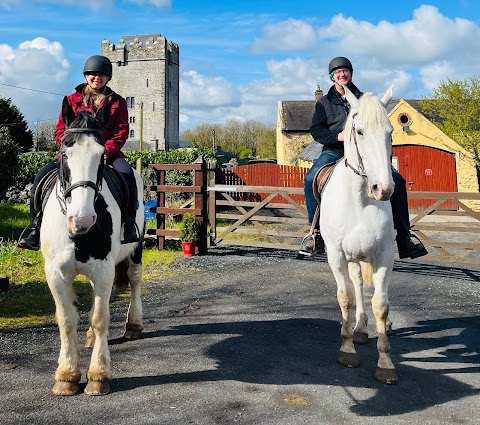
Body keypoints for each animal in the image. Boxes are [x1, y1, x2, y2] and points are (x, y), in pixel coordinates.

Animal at [41, 107, 144, 394]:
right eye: (65, 153)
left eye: (102, 155)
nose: (82, 220)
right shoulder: (55, 273)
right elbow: (66, 320)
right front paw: (66, 374)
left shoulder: (103, 270)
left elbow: (100, 318)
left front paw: (98, 375)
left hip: (135, 252)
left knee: (134, 281)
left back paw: (133, 324)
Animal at [318, 84, 398, 382]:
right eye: (359, 131)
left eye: (390, 132)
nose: (383, 189)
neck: (360, 201)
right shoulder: (337, 256)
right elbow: (346, 297)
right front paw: (347, 350)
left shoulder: (384, 257)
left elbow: (381, 305)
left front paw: (385, 363)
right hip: (351, 258)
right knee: (357, 285)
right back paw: (359, 329)